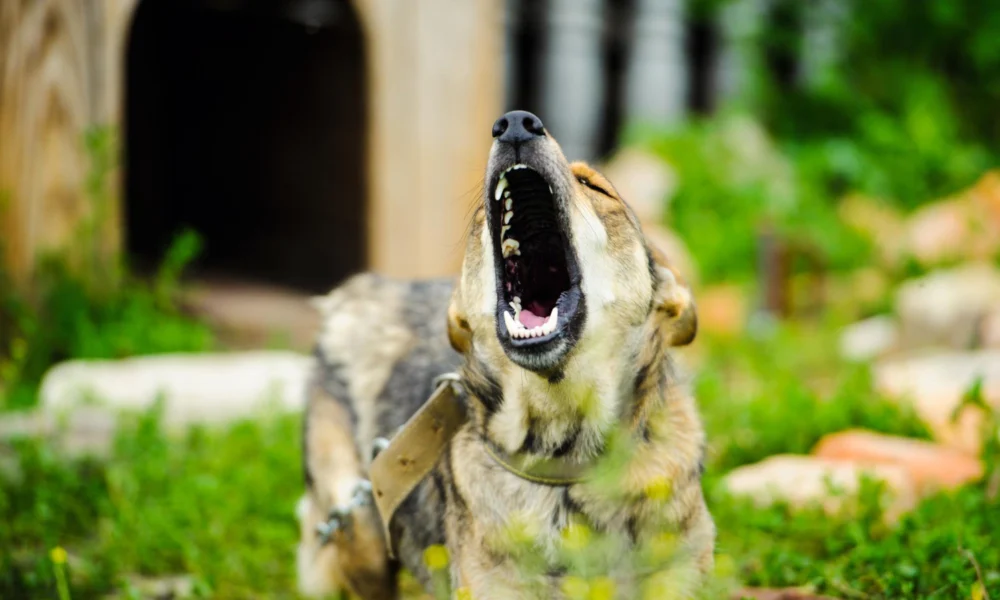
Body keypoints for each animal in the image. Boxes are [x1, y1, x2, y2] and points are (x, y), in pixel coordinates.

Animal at [296, 110, 712, 596]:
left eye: (594, 186)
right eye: (480, 214)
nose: (515, 122)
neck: (564, 457)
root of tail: (354, 291)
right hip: (357, 522)